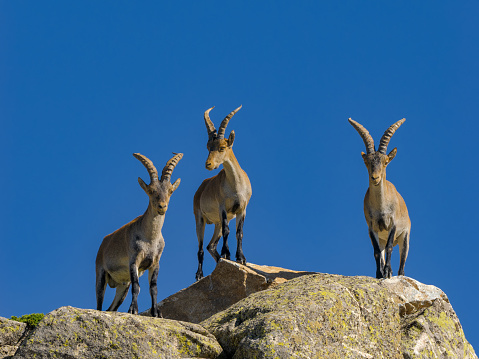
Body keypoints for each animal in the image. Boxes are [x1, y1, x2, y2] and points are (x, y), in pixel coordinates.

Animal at [96, 153, 183, 316]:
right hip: (101, 275)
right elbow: (137, 286)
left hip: (123, 285)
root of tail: (103, 243)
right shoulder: (134, 260)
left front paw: (156, 312)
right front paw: (133, 310)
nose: (162, 206)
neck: (150, 238)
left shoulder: (155, 263)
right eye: (151, 191)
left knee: (111, 308)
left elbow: (153, 288)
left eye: (170, 191)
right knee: (98, 305)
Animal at [195, 105, 255, 282]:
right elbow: (229, 230)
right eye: (208, 147)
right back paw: (199, 274)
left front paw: (240, 257)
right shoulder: (223, 207)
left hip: (216, 224)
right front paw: (227, 254)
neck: (236, 186)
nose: (208, 164)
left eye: (222, 147)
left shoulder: (242, 209)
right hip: (200, 218)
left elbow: (239, 232)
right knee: (201, 248)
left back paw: (219, 261)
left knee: (210, 245)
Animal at [348, 119, 412, 280]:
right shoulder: (372, 228)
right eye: (367, 161)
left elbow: (390, 248)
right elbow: (377, 252)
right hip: (381, 237)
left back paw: (396, 273)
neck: (381, 207)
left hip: (404, 238)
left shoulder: (393, 224)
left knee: (401, 264)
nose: (375, 178)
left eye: (385, 161)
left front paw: (387, 273)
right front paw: (379, 274)